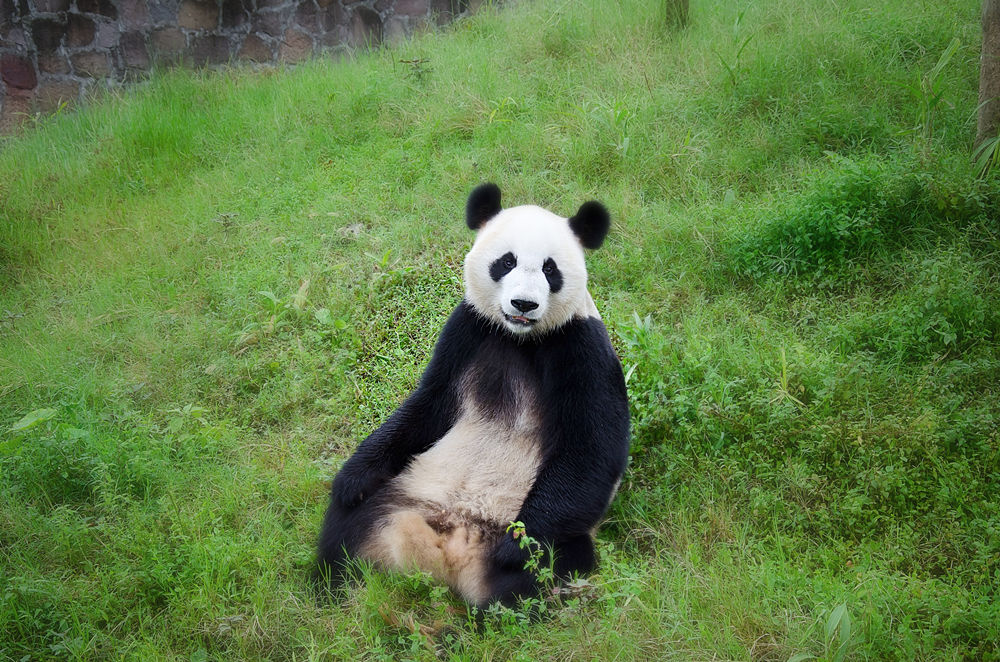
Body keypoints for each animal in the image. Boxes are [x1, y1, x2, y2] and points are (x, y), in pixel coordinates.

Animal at [316, 184, 628, 608]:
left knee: (547, 570)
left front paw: (517, 545)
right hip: (405, 491)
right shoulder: (469, 330)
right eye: (507, 261)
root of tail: (447, 552)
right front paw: (351, 478)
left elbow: (592, 448)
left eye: (550, 269)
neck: (519, 338)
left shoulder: (581, 346)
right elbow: (428, 406)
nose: (524, 304)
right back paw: (333, 587)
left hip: (550, 537)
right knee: (345, 527)